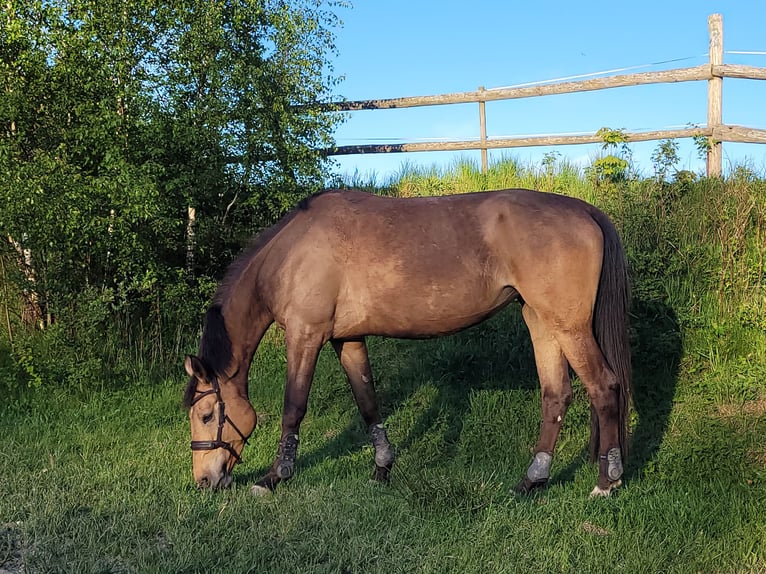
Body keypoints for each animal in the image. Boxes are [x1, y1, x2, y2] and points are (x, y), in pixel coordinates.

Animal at [183, 189, 632, 500]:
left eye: (206, 415)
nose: (204, 480)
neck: (294, 251)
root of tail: (583, 210)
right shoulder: (348, 339)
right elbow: (368, 402)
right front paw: (382, 468)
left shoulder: (305, 336)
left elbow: (293, 408)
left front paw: (274, 477)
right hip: (539, 319)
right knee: (556, 395)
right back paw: (531, 481)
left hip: (569, 327)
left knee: (604, 387)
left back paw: (606, 483)